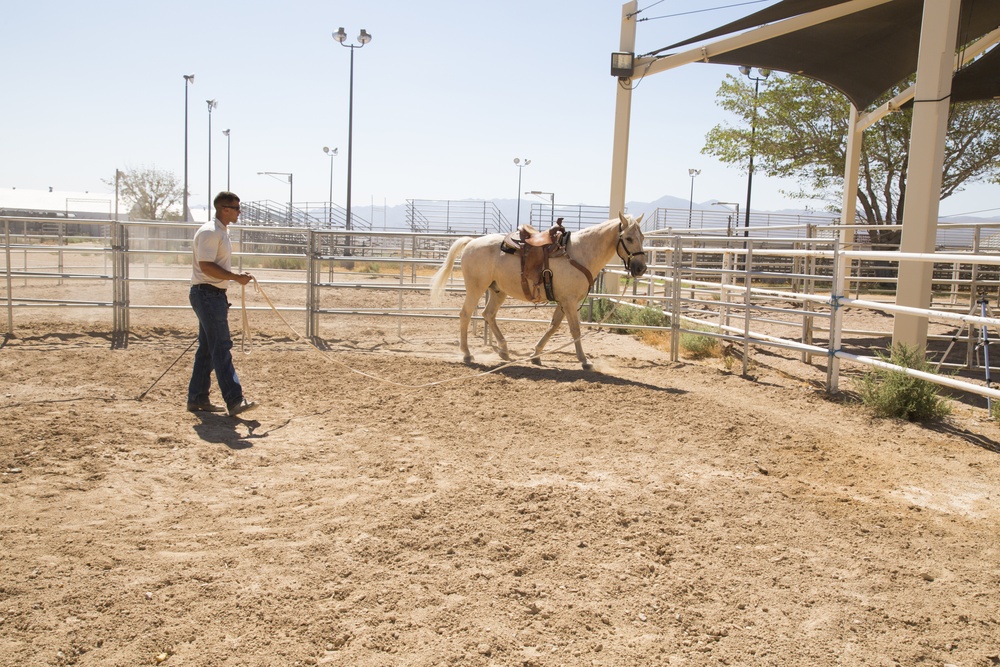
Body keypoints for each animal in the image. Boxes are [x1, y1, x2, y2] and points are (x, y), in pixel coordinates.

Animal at [430, 213, 648, 370]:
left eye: (642, 237)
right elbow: (575, 329)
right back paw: (467, 353)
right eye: (629, 238)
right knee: (466, 314)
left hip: (498, 291)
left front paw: (535, 354)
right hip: (476, 288)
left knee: (488, 314)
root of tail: (471, 242)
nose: (641, 268)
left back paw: (504, 350)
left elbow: (553, 326)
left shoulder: (564, 301)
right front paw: (584, 360)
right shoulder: (570, 301)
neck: (580, 253)